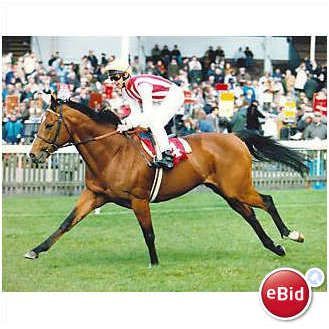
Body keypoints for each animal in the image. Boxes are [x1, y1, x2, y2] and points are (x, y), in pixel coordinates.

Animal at [25, 96, 308, 266]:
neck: (112, 153)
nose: (33, 154)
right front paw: (35, 250)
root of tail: (235, 137)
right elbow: (66, 223)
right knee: (250, 215)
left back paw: (291, 234)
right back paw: (275, 247)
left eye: (48, 125)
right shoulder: (94, 195)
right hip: (228, 191)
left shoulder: (139, 199)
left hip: (237, 187)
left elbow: (148, 233)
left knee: (267, 201)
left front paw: (154, 263)